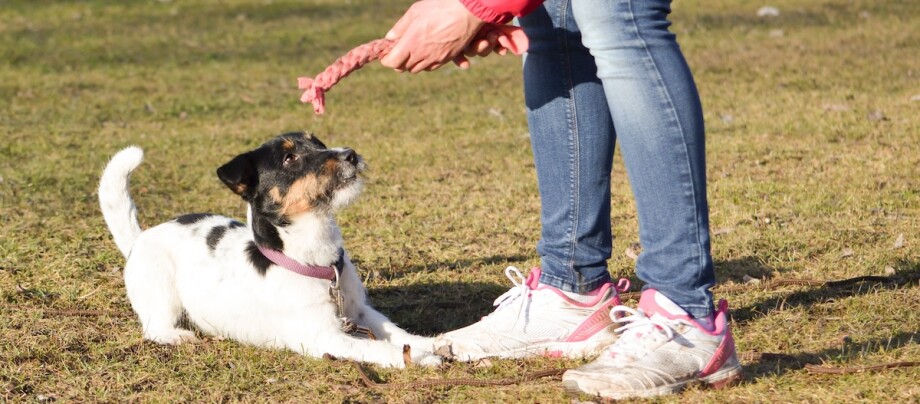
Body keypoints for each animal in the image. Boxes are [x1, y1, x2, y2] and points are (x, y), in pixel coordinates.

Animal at [99, 133, 442, 370]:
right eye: (290, 158)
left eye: (319, 143)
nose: (351, 154)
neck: (312, 258)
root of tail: (140, 238)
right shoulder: (324, 338)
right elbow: (378, 348)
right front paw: (421, 358)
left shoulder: (359, 312)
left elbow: (398, 333)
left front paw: (434, 344)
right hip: (163, 294)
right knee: (153, 327)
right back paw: (176, 336)